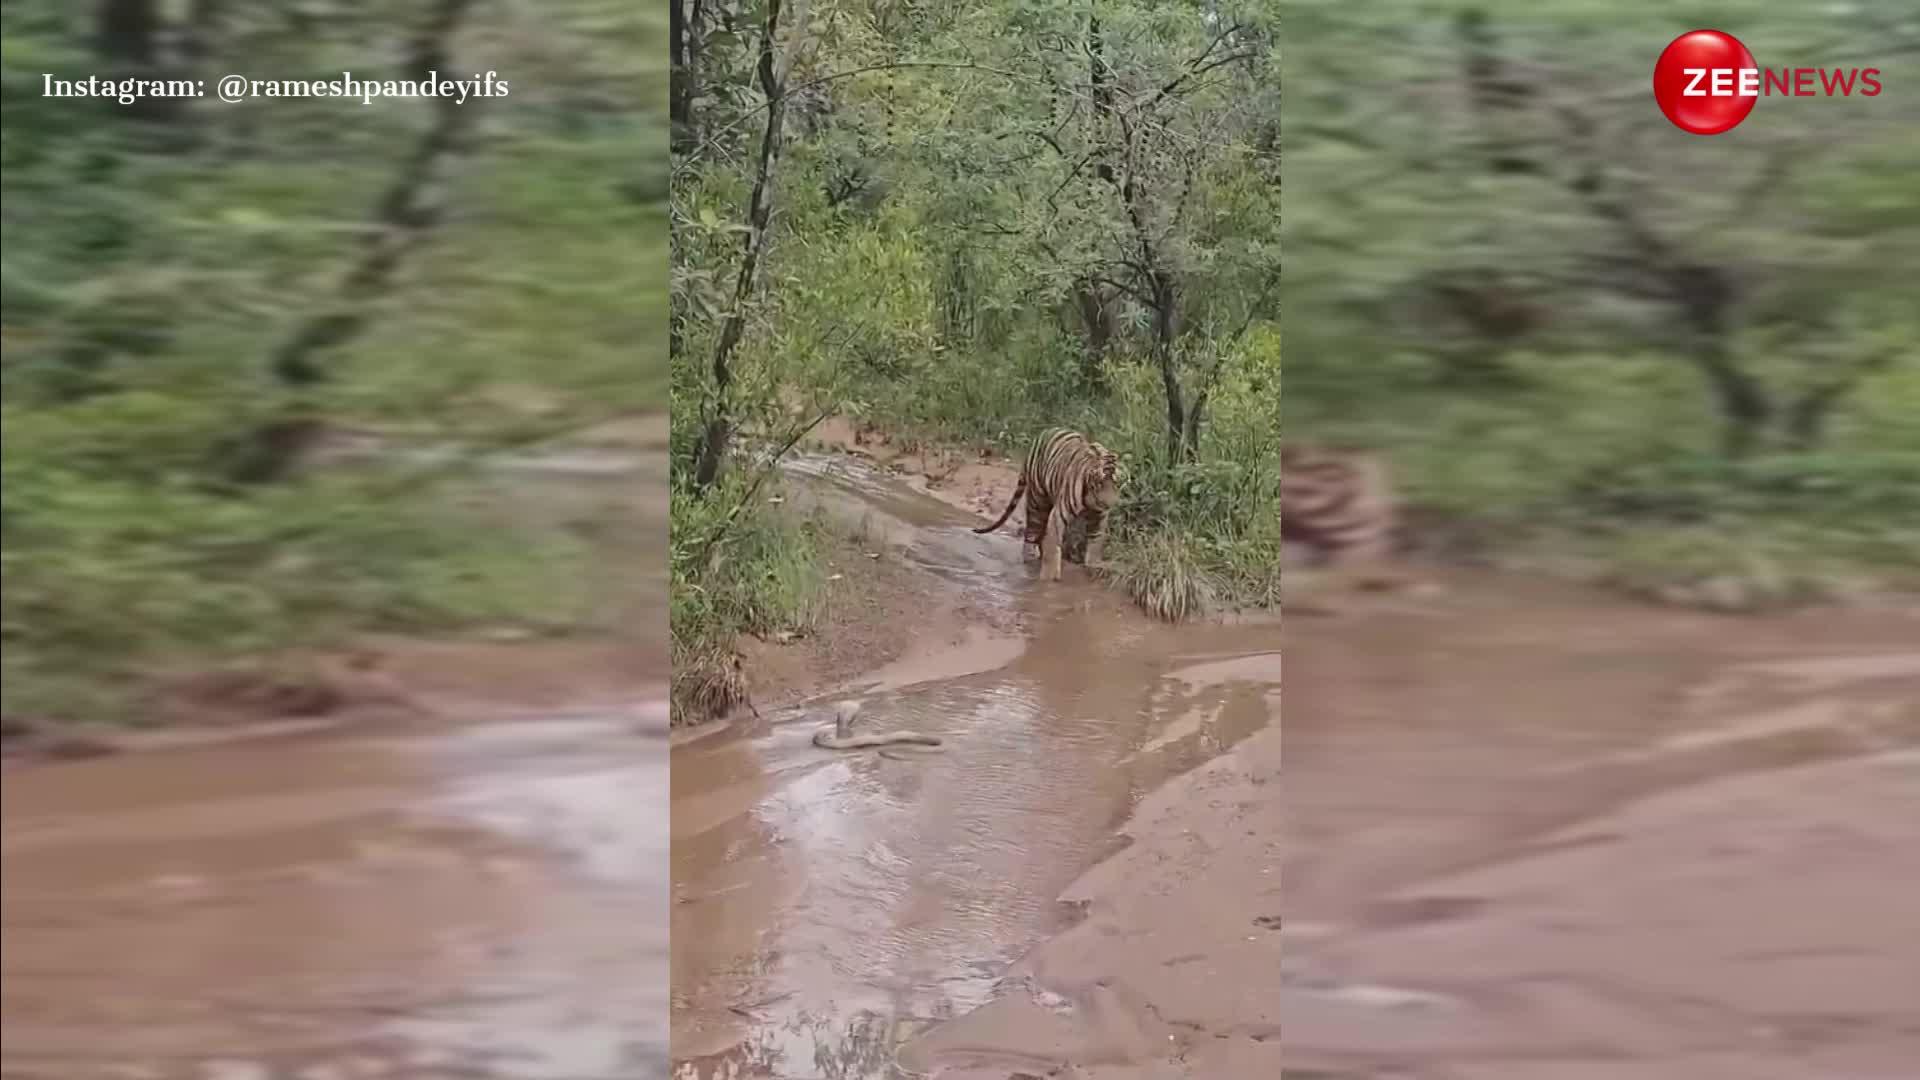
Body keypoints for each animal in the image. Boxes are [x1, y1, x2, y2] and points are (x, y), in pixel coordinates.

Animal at [975, 426, 1121, 580]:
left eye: (1116, 484)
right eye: (1100, 483)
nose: (1107, 503)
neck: (1091, 500)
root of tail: (1044, 432)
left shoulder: (1099, 517)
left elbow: (1096, 542)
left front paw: (1093, 565)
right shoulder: (1059, 515)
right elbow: (1053, 547)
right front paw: (1048, 578)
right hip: (1037, 503)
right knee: (1030, 534)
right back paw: (1030, 560)